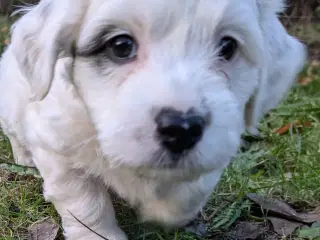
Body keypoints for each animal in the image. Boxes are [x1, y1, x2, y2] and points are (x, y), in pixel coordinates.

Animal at [0, 0, 306, 239]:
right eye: (120, 45)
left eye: (228, 47)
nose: (182, 130)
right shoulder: (58, 149)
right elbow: (86, 203)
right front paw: (100, 234)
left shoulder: (214, 150)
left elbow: (188, 194)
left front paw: (158, 213)